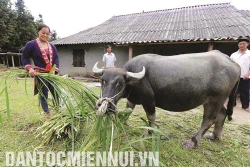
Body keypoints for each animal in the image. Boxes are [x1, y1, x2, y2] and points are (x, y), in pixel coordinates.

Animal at [92, 50, 240, 148]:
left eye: (120, 83)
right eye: (102, 80)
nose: (105, 105)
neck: (134, 81)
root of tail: (233, 63)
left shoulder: (148, 101)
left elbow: (151, 117)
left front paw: (149, 133)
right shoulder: (132, 99)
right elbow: (128, 111)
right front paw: (122, 123)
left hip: (214, 100)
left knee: (209, 120)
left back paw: (192, 142)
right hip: (217, 100)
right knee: (222, 114)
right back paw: (215, 136)